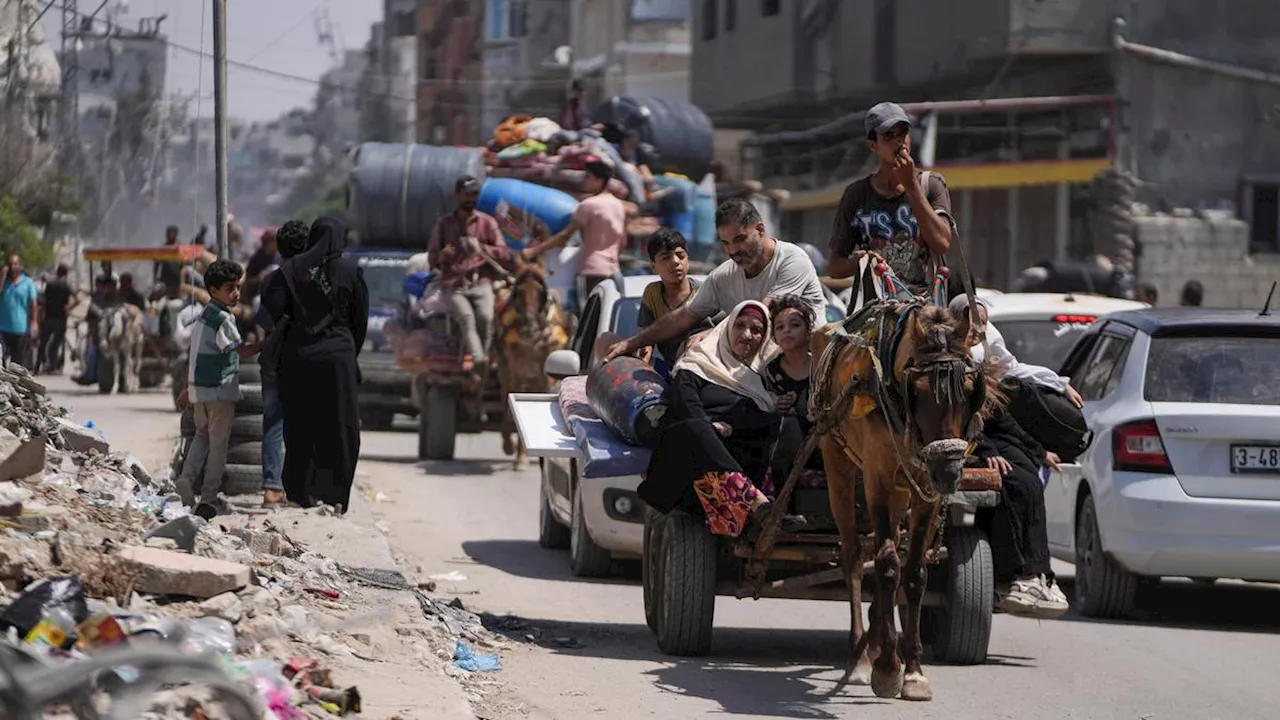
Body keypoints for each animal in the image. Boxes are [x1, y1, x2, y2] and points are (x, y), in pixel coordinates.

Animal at [494, 263, 570, 466]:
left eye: (541, 294)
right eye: (518, 293)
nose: (530, 330)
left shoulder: (545, 377)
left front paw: (521, 456)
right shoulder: (515, 373)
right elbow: (511, 405)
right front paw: (512, 449)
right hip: (506, 370)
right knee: (504, 396)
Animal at [808, 297, 998, 702]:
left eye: (970, 389)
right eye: (919, 390)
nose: (949, 472)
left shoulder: (924, 488)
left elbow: (913, 573)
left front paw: (912, 671)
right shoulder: (877, 477)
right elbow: (887, 565)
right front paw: (887, 669)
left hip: (902, 488)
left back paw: (877, 639)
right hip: (836, 457)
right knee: (853, 556)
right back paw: (861, 656)